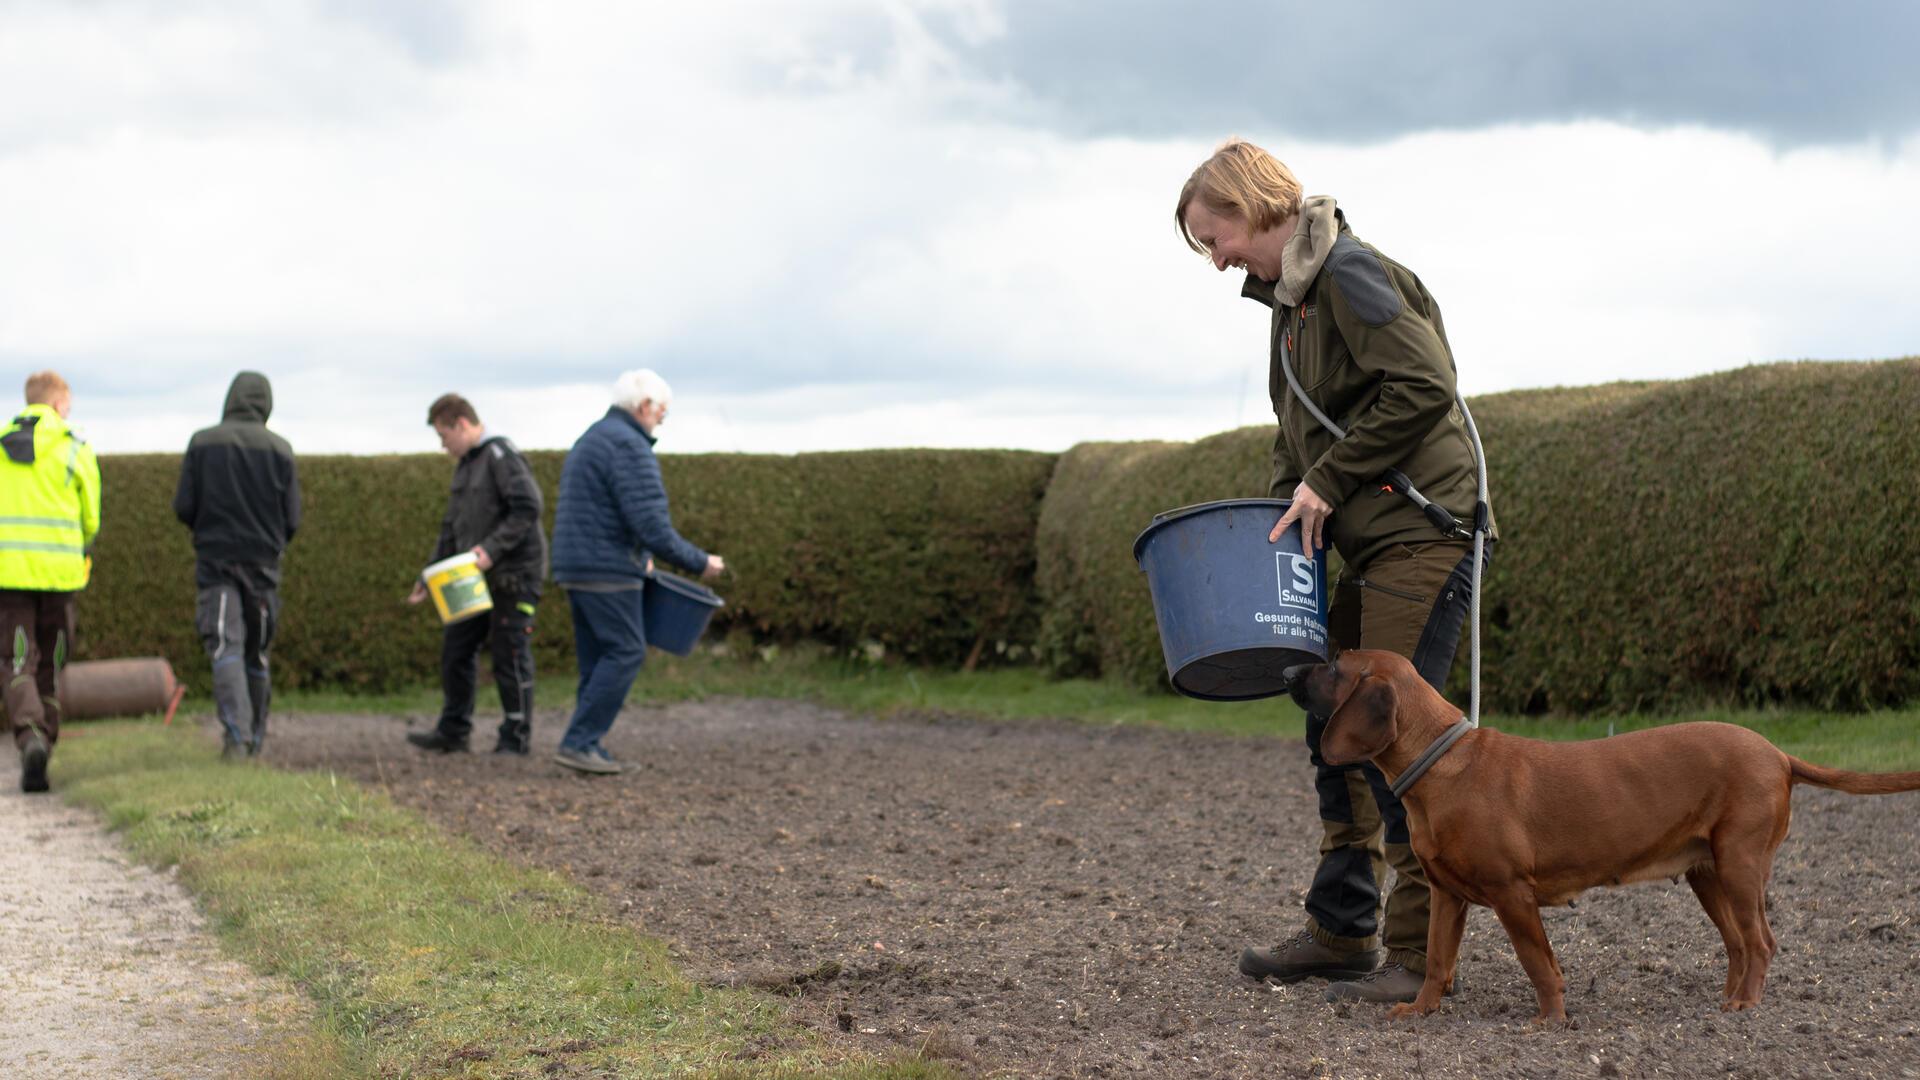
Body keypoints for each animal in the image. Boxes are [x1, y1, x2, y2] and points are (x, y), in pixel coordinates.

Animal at [1282, 645, 1920, 1014]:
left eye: (1335, 667)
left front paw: (1550, 1021)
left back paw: (1744, 1010)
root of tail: (1780, 755)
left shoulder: (1513, 894)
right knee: (1740, 944)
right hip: (1708, 874)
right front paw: (1419, 1013)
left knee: (1761, 942)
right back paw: (1726, 1000)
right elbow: (1437, 962)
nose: (1286, 668)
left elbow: (1539, 964)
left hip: (1740, 865)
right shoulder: (1446, 896)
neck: (1442, 761)